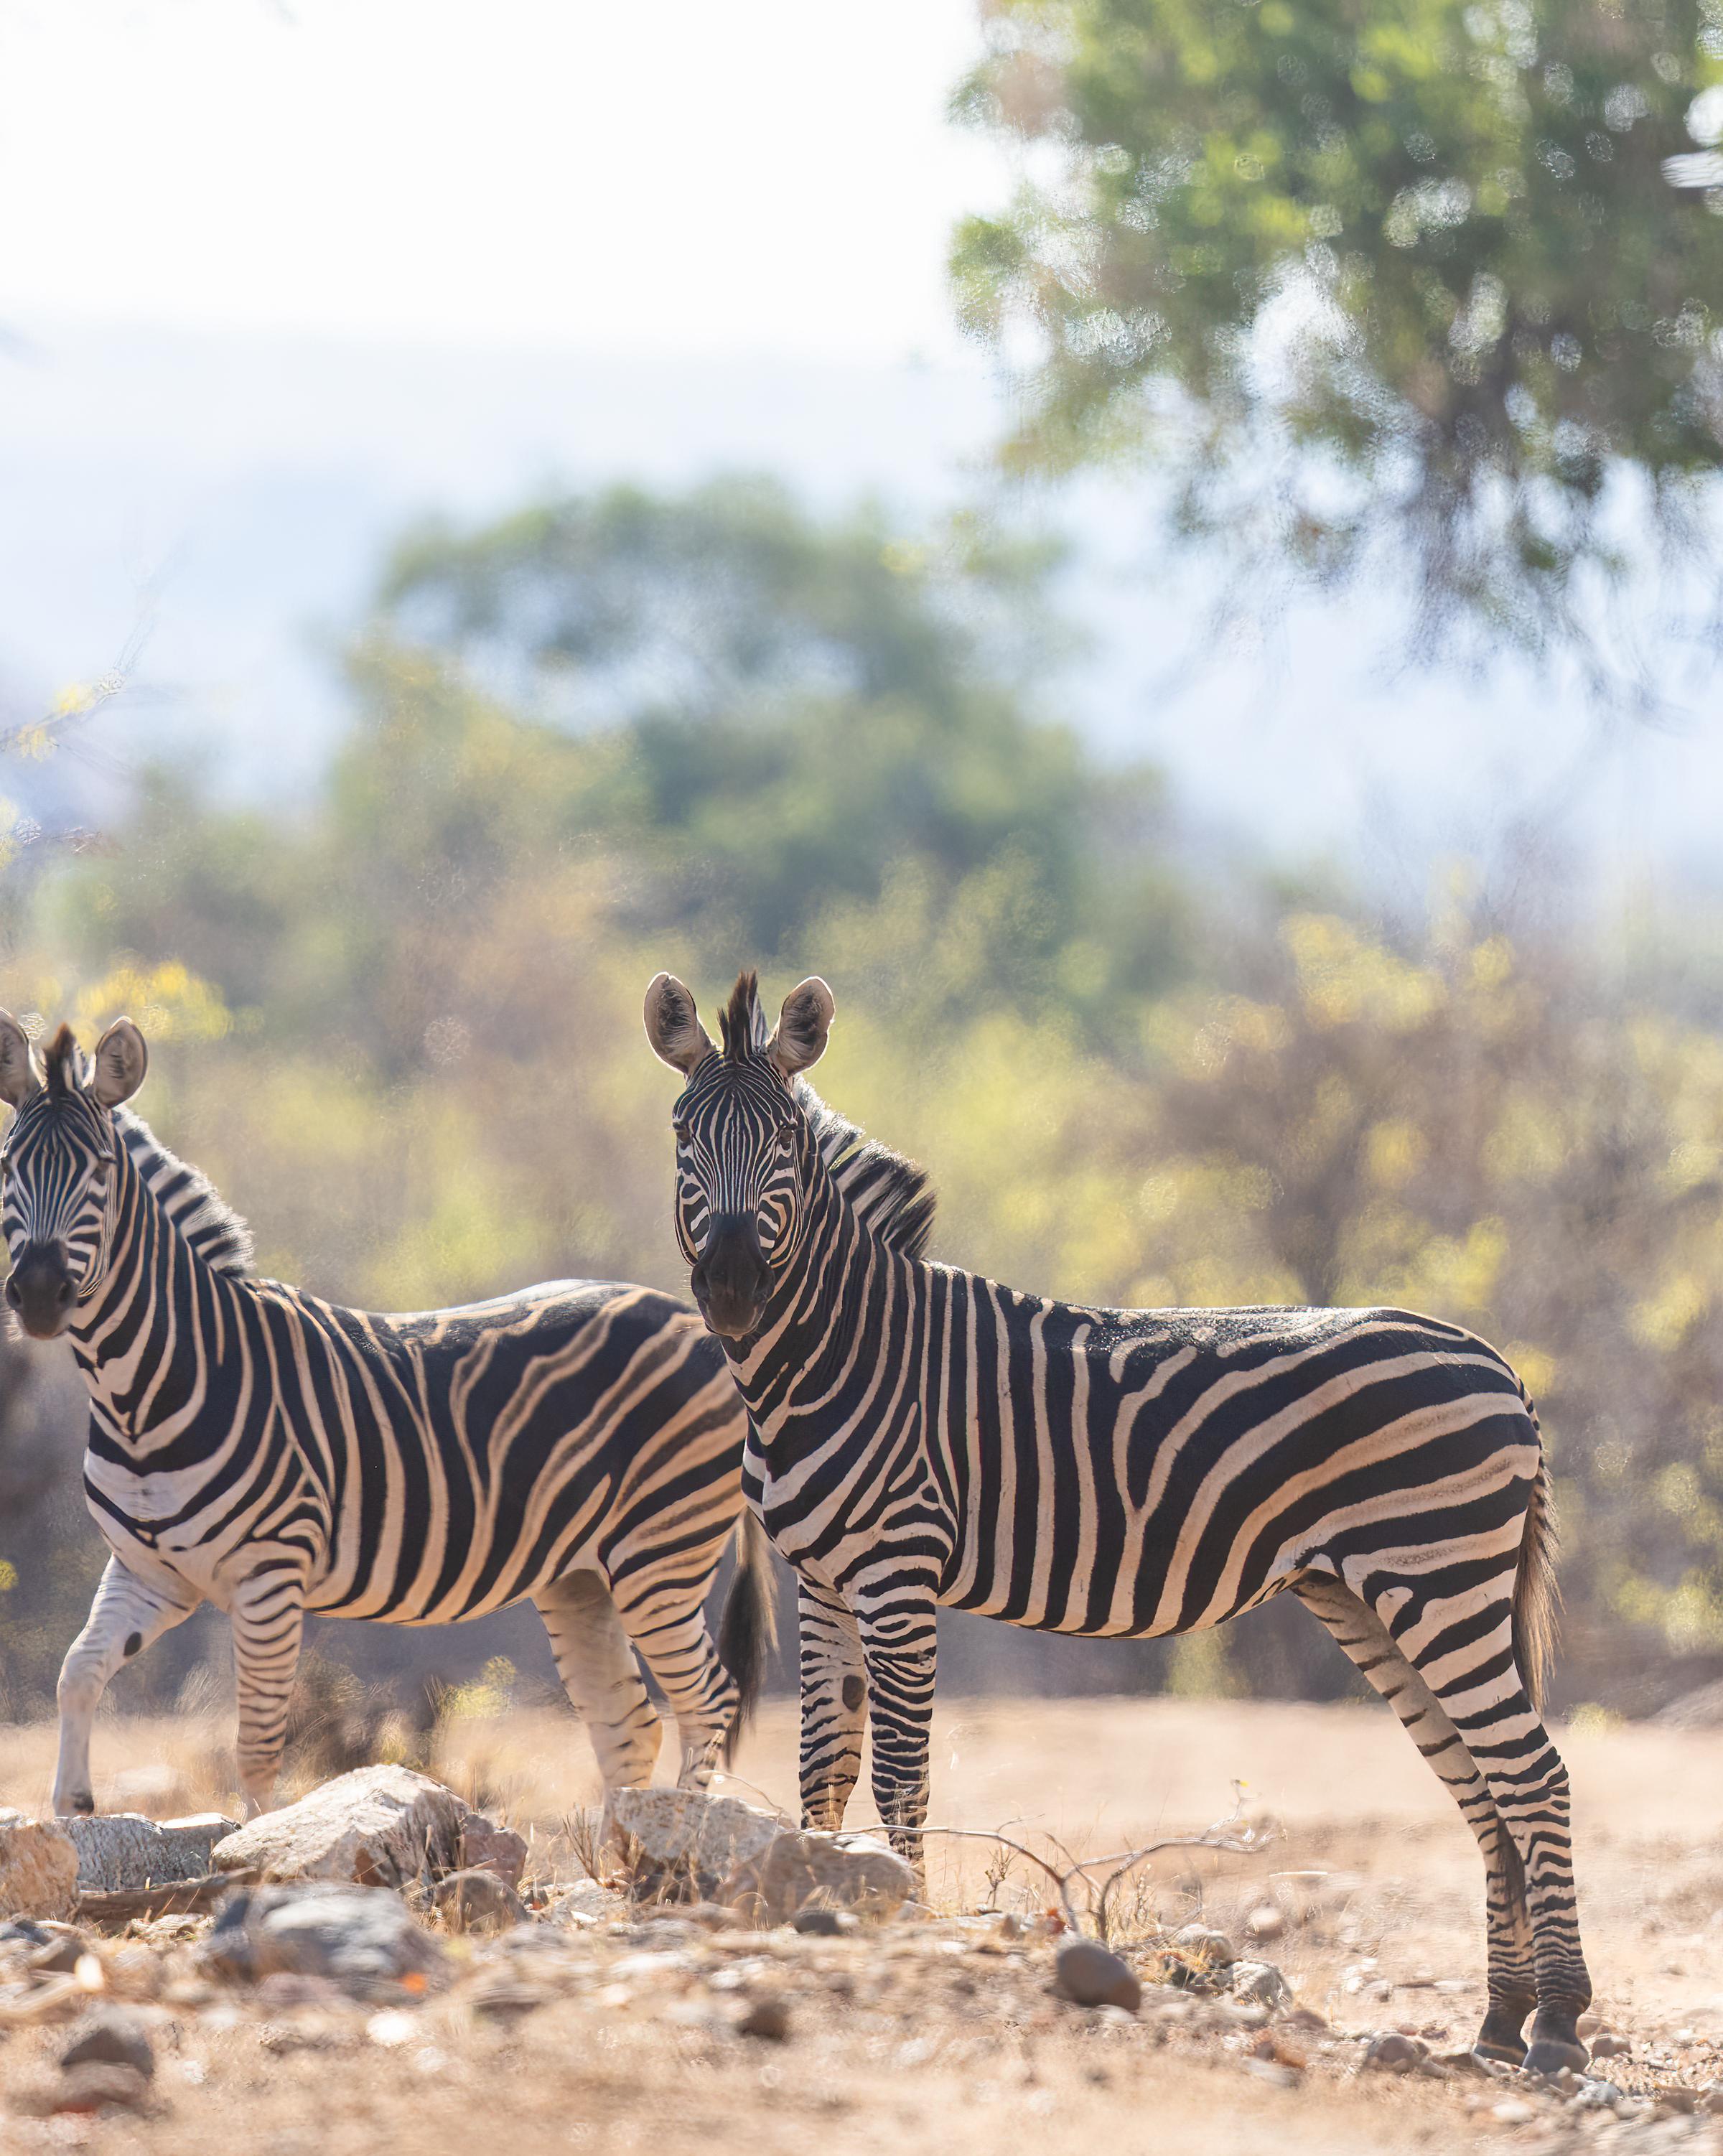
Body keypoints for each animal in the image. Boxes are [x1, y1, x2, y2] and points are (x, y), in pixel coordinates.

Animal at [0, 1012, 774, 1821]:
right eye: (7, 1166)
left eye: (99, 1172)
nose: (41, 1294)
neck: (143, 1388)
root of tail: (705, 1329)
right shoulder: (151, 1570)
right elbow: (77, 1672)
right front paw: (74, 1807)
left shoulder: (271, 1573)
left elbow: (256, 1747)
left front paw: (257, 1847)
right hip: (581, 1574)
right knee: (628, 1721)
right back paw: (621, 1845)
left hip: (661, 1550)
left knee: (708, 1701)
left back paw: (683, 1837)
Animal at [643, 967, 1593, 2076]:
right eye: (681, 1134)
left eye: (787, 1139)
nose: (732, 1290)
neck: (836, 1354)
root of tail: (1499, 1364)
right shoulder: (824, 1578)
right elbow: (824, 1766)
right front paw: (830, 1897)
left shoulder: (899, 1570)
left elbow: (901, 1771)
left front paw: (905, 1914)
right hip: (1369, 1595)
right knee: (1485, 1786)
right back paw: (1497, 2020)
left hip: (1441, 1578)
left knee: (1533, 1774)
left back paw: (1558, 2022)